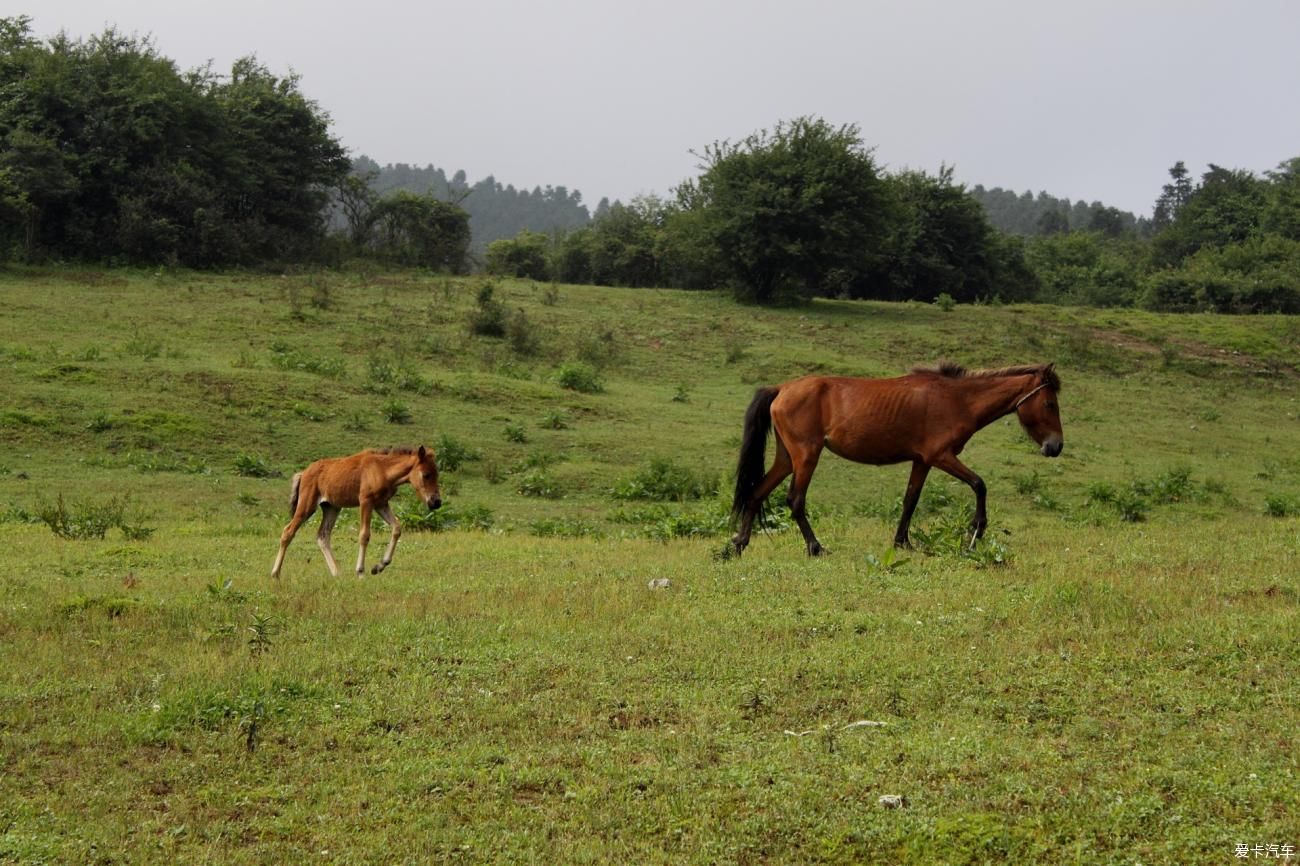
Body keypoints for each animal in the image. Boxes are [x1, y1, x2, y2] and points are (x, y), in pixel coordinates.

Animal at [269, 442, 441, 577]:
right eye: (426, 474)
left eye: (437, 474)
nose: (436, 502)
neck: (382, 469)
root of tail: (304, 472)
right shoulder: (366, 501)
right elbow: (364, 535)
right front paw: (360, 572)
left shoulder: (381, 504)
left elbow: (397, 527)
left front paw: (379, 566)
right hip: (307, 505)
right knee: (288, 531)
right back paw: (275, 573)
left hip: (331, 507)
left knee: (323, 536)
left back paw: (337, 573)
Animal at [728, 358, 1060, 553]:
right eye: (1050, 404)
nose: (1055, 446)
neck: (957, 399)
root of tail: (782, 388)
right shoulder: (941, 456)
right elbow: (979, 484)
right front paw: (976, 531)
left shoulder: (922, 461)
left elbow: (910, 500)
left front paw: (902, 542)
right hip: (806, 456)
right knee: (795, 500)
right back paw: (815, 547)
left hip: (787, 458)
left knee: (756, 492)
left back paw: (739, 544)